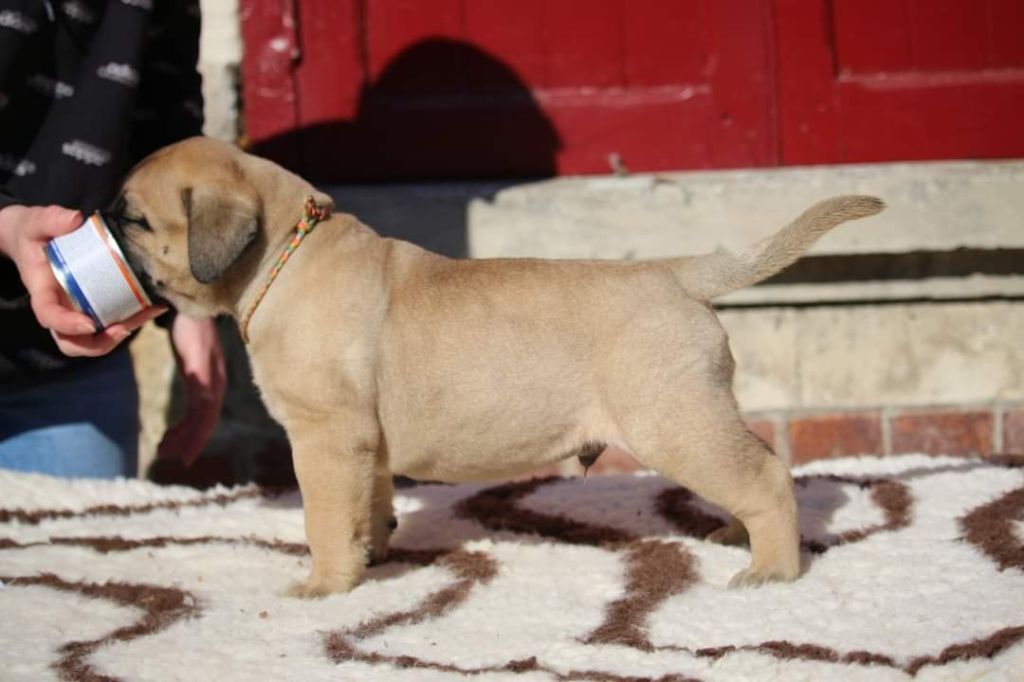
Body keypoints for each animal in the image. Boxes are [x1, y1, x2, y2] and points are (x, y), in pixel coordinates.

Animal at [110, 138, 880, 593]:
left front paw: (324, 585)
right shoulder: (363, 445)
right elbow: (369, 503)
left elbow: (324, 516)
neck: (284, 253)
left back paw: (771, 568)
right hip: (695, 417)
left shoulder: (326, 437)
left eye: (137, 220)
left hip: (674, 420)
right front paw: (373, 553)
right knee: (752, 468)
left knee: (767, 476)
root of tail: (675, 273)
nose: (99, 218)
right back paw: (735, 537)